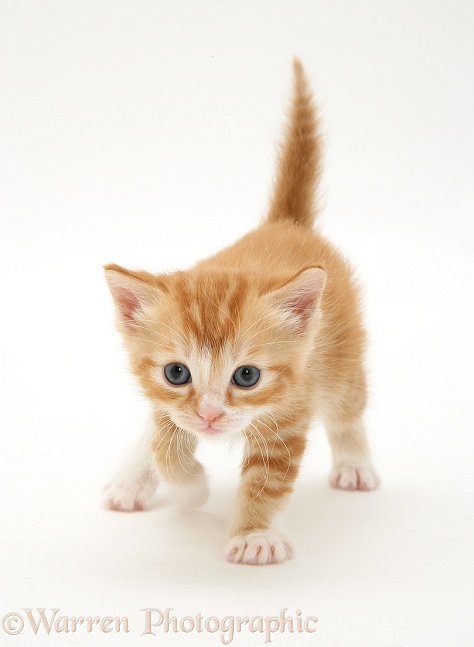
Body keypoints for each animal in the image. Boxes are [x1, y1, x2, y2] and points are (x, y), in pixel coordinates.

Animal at [103, 62, 378, 568]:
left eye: (247, 376)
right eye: (176, 372)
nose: (211, 415)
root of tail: (286, 223)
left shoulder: (289, 414)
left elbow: (266, 482)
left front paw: (254, 535)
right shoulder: (167, 402)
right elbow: (163, 441)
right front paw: (190, 491)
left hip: (341, 364)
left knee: (348, 410)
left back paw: (355, 463)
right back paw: (132, 479)